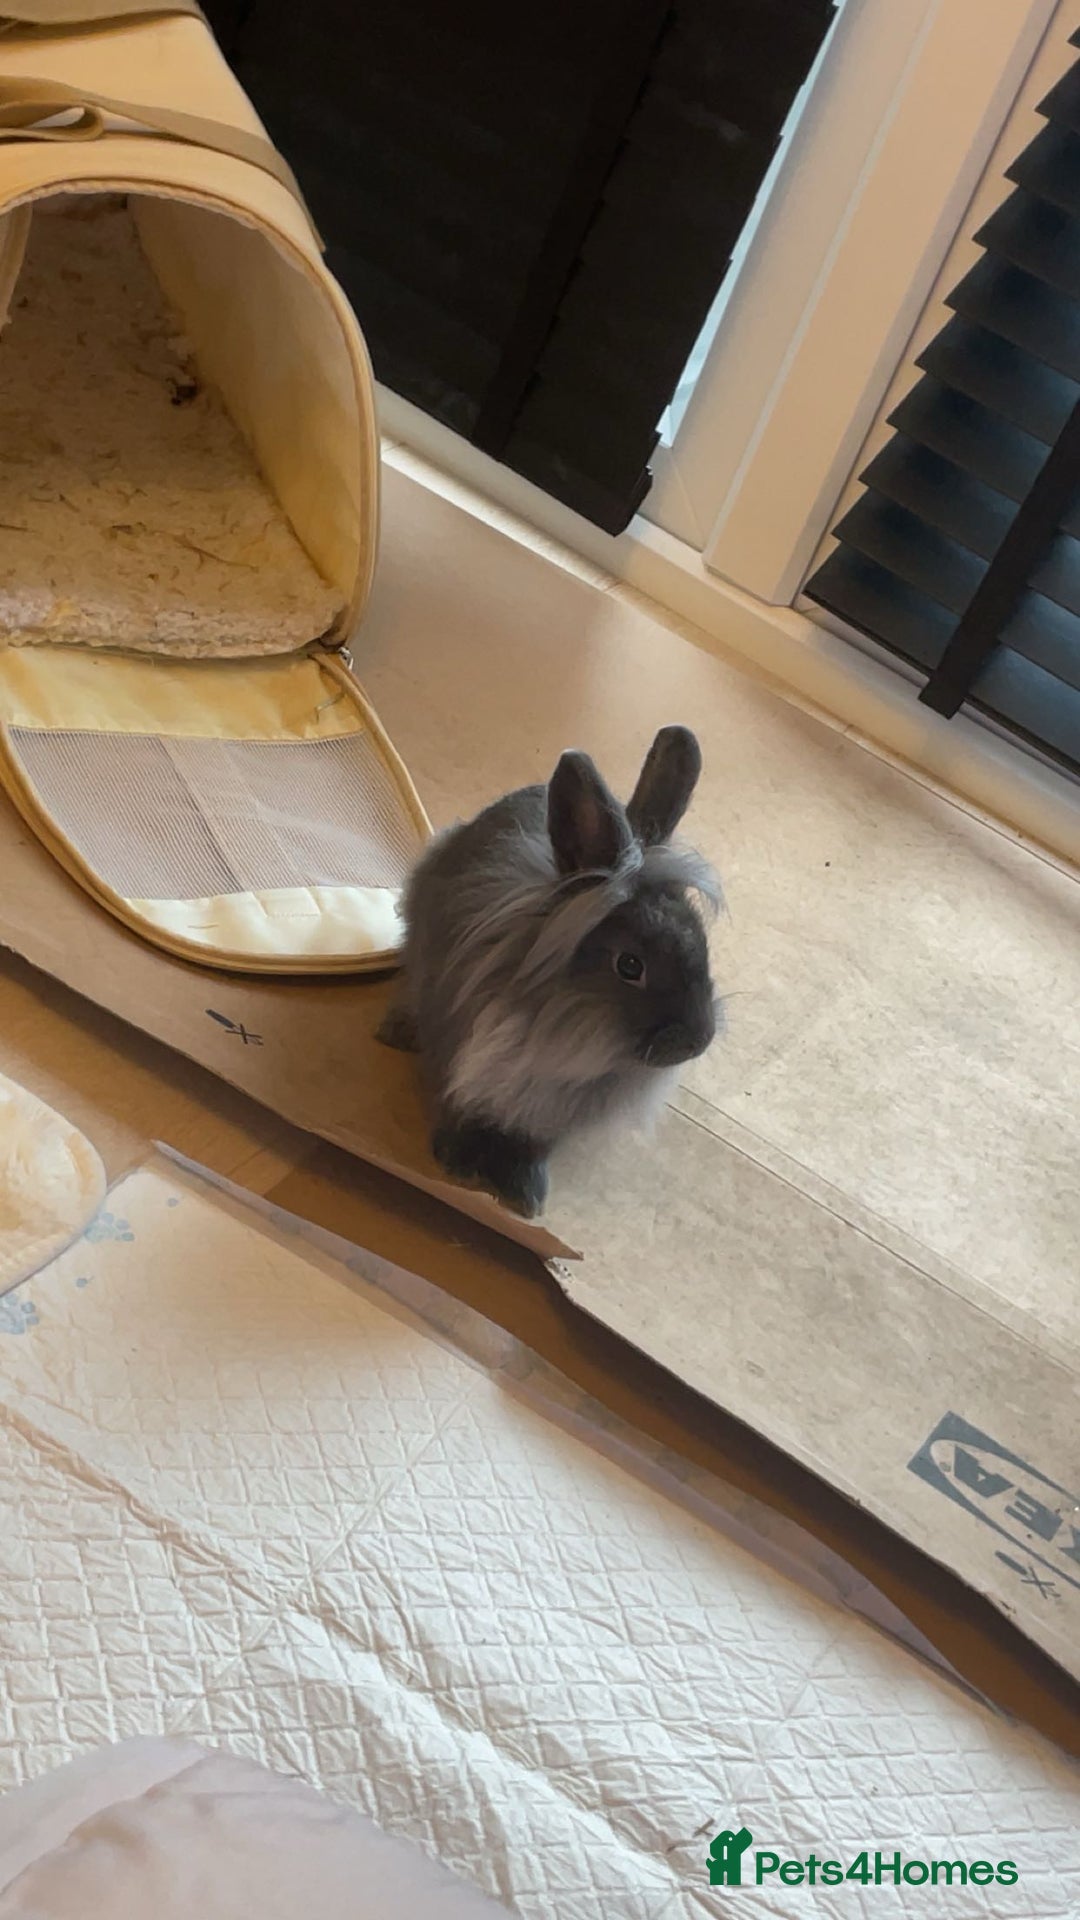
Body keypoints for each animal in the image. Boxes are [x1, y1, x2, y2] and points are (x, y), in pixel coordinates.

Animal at [378, 725, 720, 1217]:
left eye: (703, 946)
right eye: (630, 966)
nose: (698, 1041)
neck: (572, 1041)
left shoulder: (550, 1118)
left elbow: (531, 1147)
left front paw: (526, 1196)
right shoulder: (457, 1055)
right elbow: (457, 1109)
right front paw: (455, 1162)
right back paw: (395, 1031)